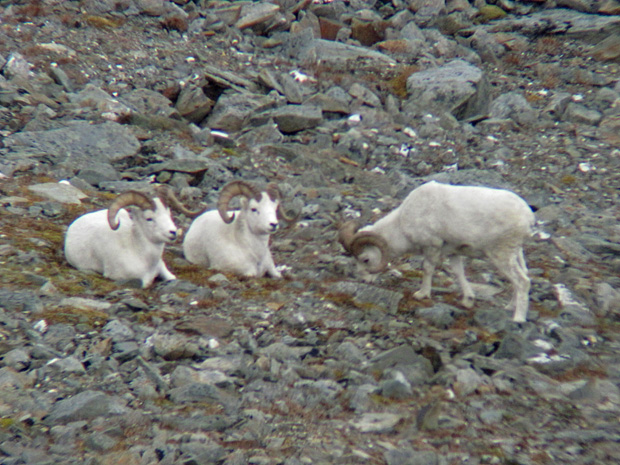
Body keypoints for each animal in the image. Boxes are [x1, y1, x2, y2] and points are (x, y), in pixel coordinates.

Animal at [336, 181, 536, 322]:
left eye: (365, 259)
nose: (363, 281)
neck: (402, 224)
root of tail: (528, 216)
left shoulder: (432, 247)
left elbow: (427, 269)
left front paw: (422, 294)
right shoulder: (454, 251)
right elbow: (458, 273)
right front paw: (468, 300)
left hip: (501, 255)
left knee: (522, 281)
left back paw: (518, 318)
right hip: (515, 254)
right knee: (522, 277)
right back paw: (509, 307)